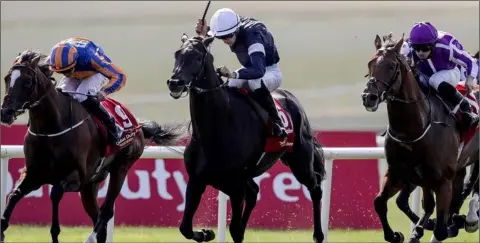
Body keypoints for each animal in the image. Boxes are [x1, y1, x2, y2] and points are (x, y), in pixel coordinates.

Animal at [0, 49, 184, 243]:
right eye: (7, 78)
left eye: (27, 82)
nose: (6, 113)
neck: (50, 128)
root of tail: (138, 125)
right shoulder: (34, 174)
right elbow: (14, 194)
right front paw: (2, 228)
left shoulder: (75, 176)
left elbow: (55, 193)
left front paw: (55, 233)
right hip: (90, 185)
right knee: (98, 216)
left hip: (121, 168)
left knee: (106, 212)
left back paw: (90, 236)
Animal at [165, 34, 326, 243]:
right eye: (177, 54)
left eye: (198, 57)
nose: (174, 82)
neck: (215, 130)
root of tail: (290, 97)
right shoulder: (197, 180)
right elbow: (185, 227)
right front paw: (206, 233)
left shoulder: (235, 185)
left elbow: (234, 228)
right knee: (254, 193)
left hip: (300, 161)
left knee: (316, 187)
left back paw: (319, 235)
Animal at [362, 34, 478, 243]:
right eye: (370, 63)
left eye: (391, 66)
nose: (369, 97)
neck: (413, 130)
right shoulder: (400, 173)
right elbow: (380, 202)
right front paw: (396, 235)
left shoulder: (442, 180)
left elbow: (440, 228)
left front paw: (445, 225)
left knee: (471, 185)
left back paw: (469, 218)